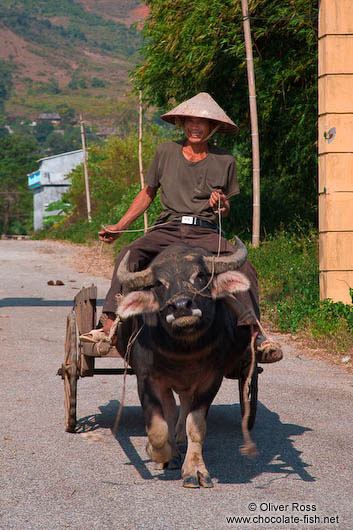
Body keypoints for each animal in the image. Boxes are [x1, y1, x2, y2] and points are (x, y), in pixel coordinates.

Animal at [115, 239, 253, 486]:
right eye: (159, 283)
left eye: (200, 275)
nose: (181, 306)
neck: (184, 348)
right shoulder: (147, 379)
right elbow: (158, 429)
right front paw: (158, 453)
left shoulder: (211, 379)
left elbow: (196, 425)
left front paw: (195, 470)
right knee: (170, 411)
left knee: (183, 406)